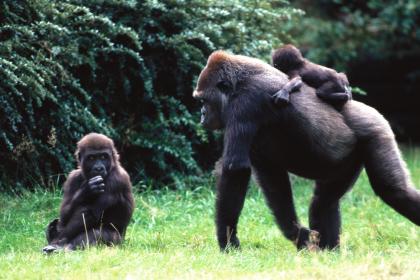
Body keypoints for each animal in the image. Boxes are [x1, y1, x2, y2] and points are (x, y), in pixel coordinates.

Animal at [194, 50, 420, 252]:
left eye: (203, 100)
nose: (202, 114)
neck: (237, 84)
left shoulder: (244, 104)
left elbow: (236, 170)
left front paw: (228, 241)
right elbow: (274, 182)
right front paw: (299, 235)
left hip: (376, 130)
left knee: (394, 191)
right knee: (323, 202)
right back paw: (330, 251)